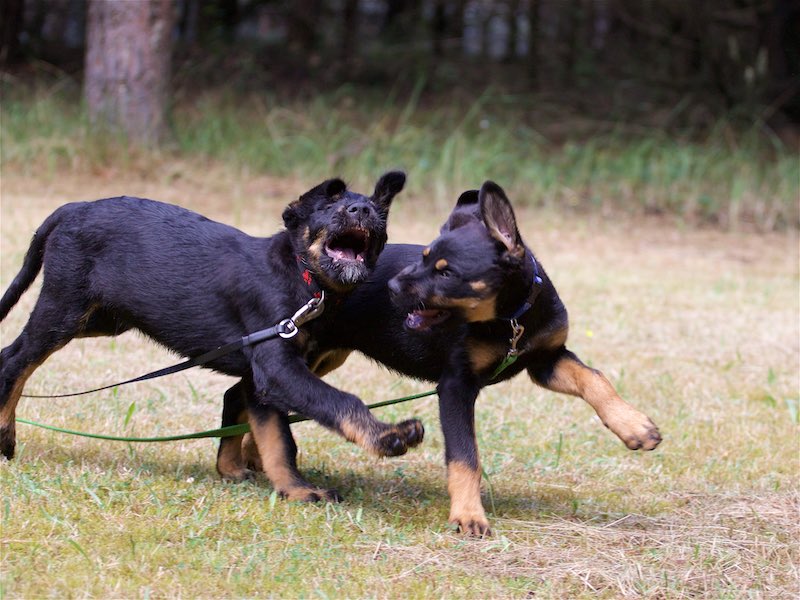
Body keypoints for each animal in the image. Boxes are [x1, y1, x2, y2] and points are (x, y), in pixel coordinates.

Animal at [0, 172, 425, 502]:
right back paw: (5, 435)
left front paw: (292, 489)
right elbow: (335, 404)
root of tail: (73, 207)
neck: (302, 279)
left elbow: (275, 440)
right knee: (18, 361)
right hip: (63, 309)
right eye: (328, 205)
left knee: (9, 352)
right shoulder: (276, 368)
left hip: (101, 318)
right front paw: (389, 436)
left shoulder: (263, 378)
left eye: (377, 211)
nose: (362, 211)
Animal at [281, 180, 660, 534]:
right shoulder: (456, 385)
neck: (511, 318)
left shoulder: (547, 360)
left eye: (447, 272)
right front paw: (468, 515)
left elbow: (594, 379)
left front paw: (635, 427)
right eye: (424, 257)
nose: (390, 288)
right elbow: (465, 456)